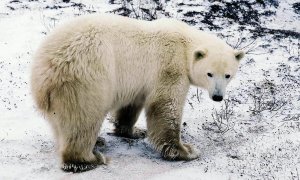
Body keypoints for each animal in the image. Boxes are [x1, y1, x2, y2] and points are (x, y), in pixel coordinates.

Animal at [31, 13, 245, 172]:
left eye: (228, 75)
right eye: (209, 74)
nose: (217, 97)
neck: (185, 45)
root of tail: (45, 72)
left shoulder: (137, 82)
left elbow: (131, 106)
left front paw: (134, 131)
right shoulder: (169, 66)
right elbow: (165, 105)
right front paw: (186, 150)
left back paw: (96, 142)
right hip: (87, 77)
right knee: (83, 118)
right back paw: (89, 158)